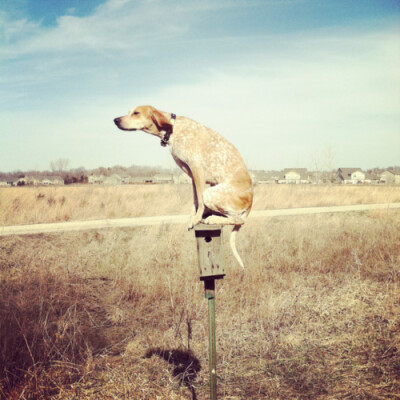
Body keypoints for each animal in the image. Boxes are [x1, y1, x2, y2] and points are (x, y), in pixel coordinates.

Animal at [114, 106, 255, 268]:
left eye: (136, 113)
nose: (115, 120)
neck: (173, 128)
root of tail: (251, 200)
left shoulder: (196, 168)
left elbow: (199, 201)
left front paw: (196, 219)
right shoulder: (191, 174)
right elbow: (195, 200)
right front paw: (192, 217)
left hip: (211, 193)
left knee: (238, 219)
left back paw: (212, 219)